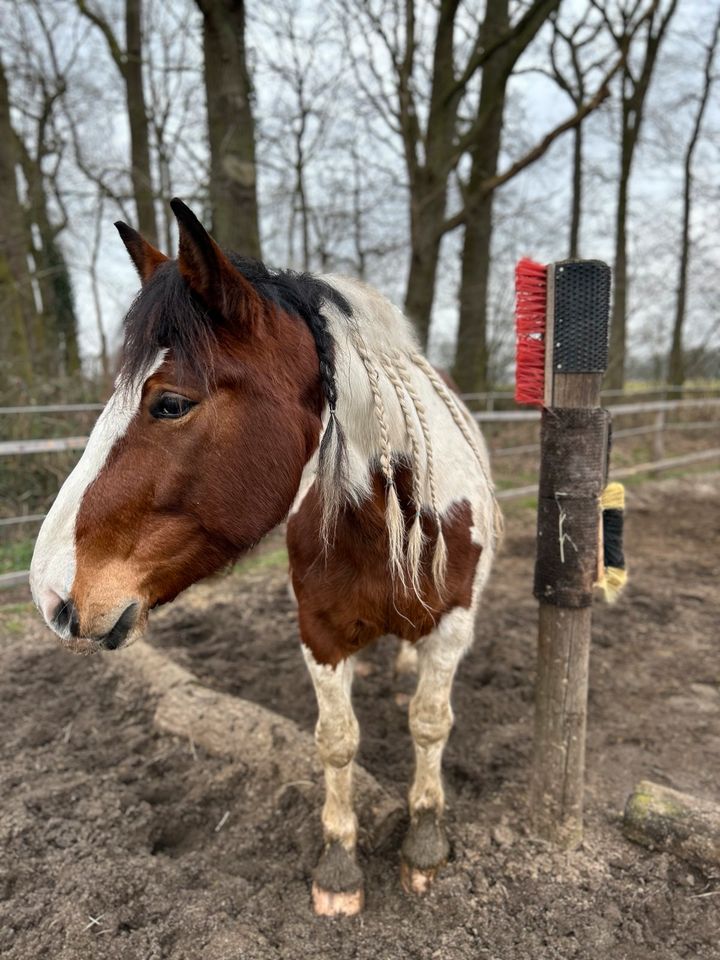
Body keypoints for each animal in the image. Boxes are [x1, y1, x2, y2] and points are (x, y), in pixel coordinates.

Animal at [29, 199, 500, 920]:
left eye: (170, 402)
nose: (49, 594)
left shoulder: (453, 626)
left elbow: (429, 724)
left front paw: (424, 847)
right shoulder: (321, 634)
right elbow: (336, 741)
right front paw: (338, 868)